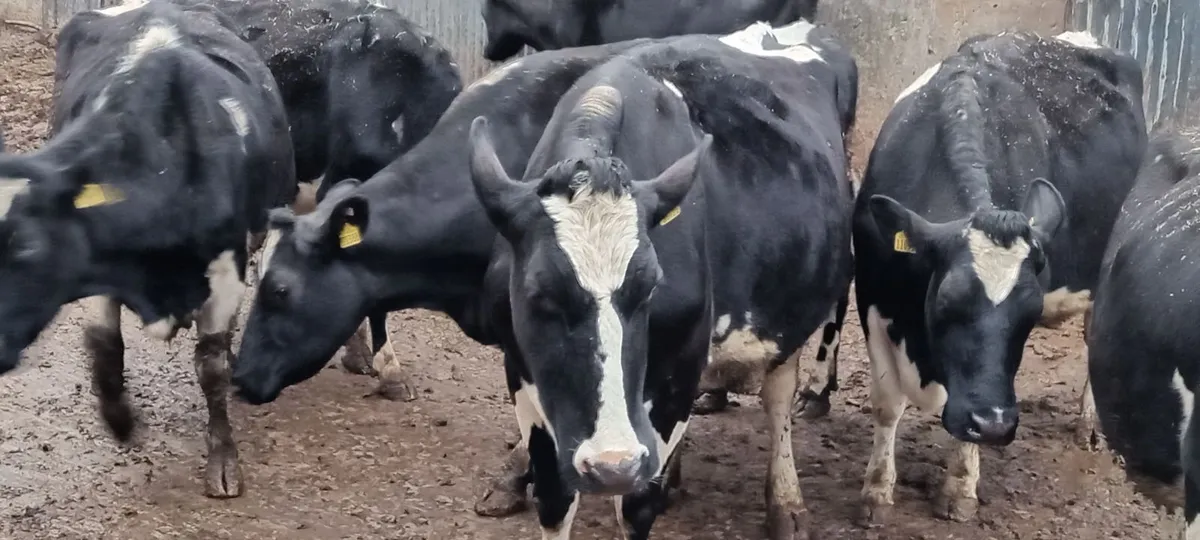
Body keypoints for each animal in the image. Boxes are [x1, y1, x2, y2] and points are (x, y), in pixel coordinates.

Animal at [0, 0, 295, 498]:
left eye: (27, 248)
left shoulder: (226, 269)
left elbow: (211, 364)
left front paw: (223, 458)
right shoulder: (101, 266)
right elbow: (106, 345)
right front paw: (119, 419)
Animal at [852, 29, 1146, 526]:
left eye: (1029, 315)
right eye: (947, 301)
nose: (994, 424)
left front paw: (960, 486)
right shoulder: (872, 298)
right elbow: (887, 403)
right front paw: (875, 492)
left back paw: (1089, 426)